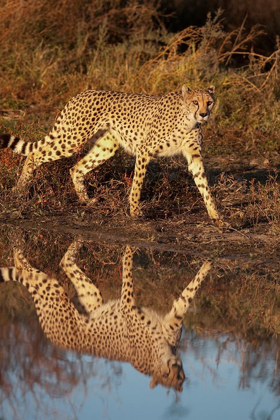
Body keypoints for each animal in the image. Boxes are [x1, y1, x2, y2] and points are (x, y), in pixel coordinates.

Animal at [0, 85, 223, 226]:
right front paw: (134, 211)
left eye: (209, 102)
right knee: (34, 155)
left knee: (76, 167)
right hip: (72, 138)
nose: (204, 114)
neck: (188, 119)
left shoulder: (194, 157)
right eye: (195, 102)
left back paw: (85, 201)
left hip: (106, 146)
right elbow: (137, 184)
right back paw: (19, 190)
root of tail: (81, 93)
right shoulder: (144, 151)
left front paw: (216, 217)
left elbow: (204, 185)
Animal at [0, 241, 210, 392]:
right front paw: (129, 250)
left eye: (177, 378)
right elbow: (128, 269)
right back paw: (19, 255)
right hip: (53, 290)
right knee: (31, 272)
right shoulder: (127, 305)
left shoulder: (171, 322)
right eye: (166, 376)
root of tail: (50, 335)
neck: (159, 356)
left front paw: (207, 265)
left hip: (91, 296)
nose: (173, 369)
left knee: (62, 262)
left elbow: (187, 295)